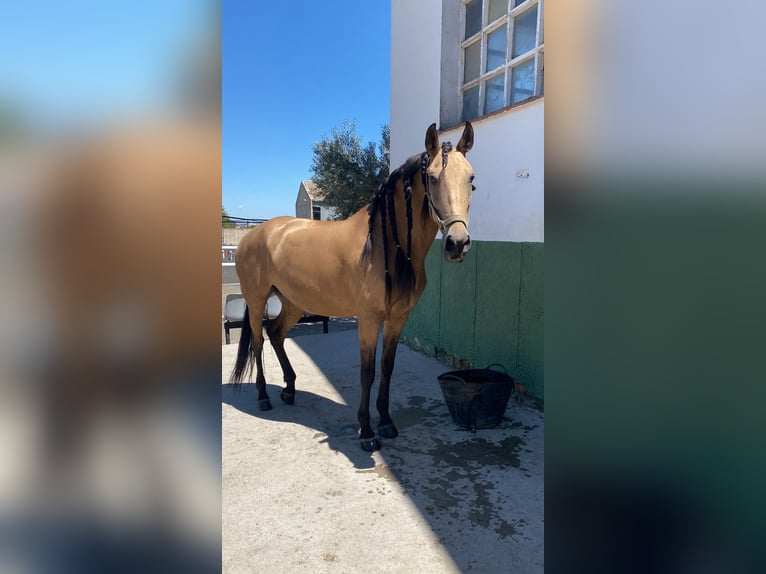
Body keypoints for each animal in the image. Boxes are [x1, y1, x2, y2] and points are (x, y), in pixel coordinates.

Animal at [231, 122, 476, 454]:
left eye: (471, 179)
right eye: (433, 177)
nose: (457, 244)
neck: (385, 245)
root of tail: (255, 234)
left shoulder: (398, 317)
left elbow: (387, 367)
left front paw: (386, 422)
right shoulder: (369, 319)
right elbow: (367, 371)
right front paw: (366, 431)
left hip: (294, 303)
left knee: (276, 334)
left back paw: (289, 389)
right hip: (257, 301)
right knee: (258, 342)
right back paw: (263, 396)